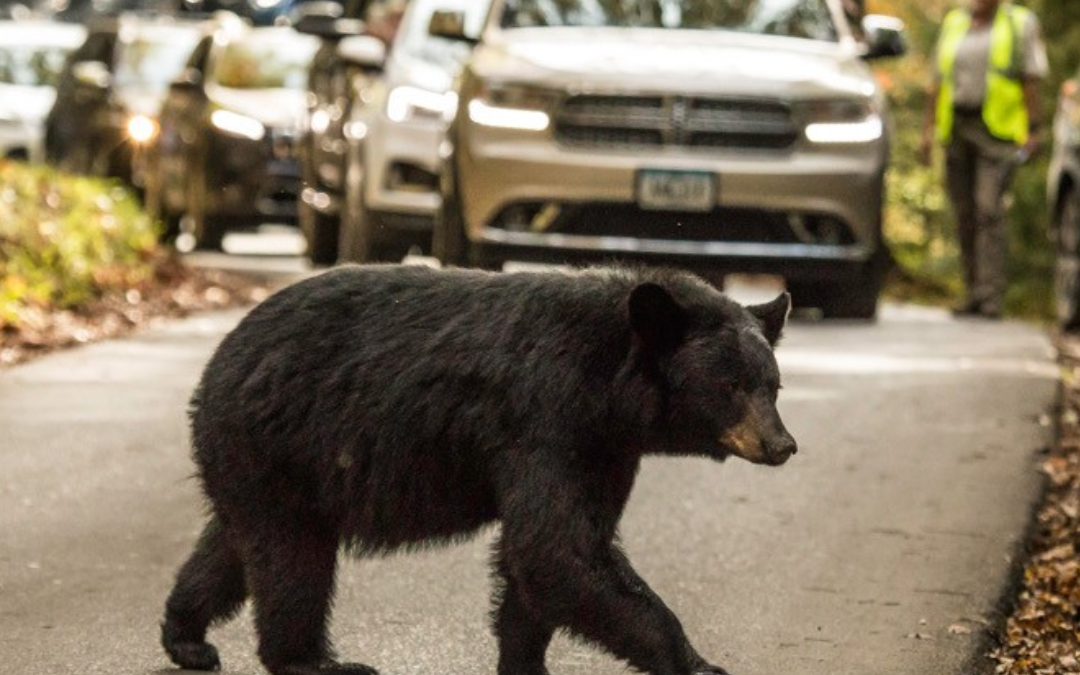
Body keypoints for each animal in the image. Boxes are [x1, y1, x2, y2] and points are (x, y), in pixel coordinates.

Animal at [161, 263, 797, 675]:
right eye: (730, 385)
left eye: (773, 385)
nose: (783, 444)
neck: (609, 381)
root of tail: (214, 367)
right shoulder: (547, 419)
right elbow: (555, 548)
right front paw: (698, 663)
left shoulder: (604, 448)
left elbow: (548, 556)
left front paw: (523, 663)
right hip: (279, 441)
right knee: (292, 558)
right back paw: (313, 662)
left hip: (261, 464)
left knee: (235, 546)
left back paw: (187, 637)